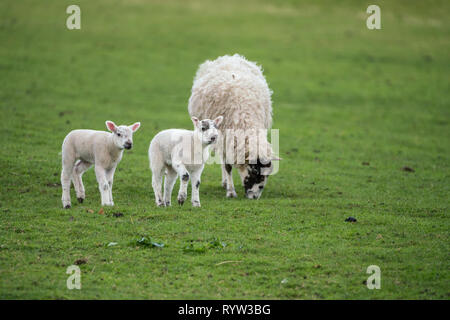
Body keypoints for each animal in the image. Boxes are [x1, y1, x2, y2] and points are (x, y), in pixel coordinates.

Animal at [187, 55, 280, 200]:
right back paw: (226, 183)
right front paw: (231, 192)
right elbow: (227, 166)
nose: (254, 197)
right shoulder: (225, 139)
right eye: (255, 171)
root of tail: (230, 57)